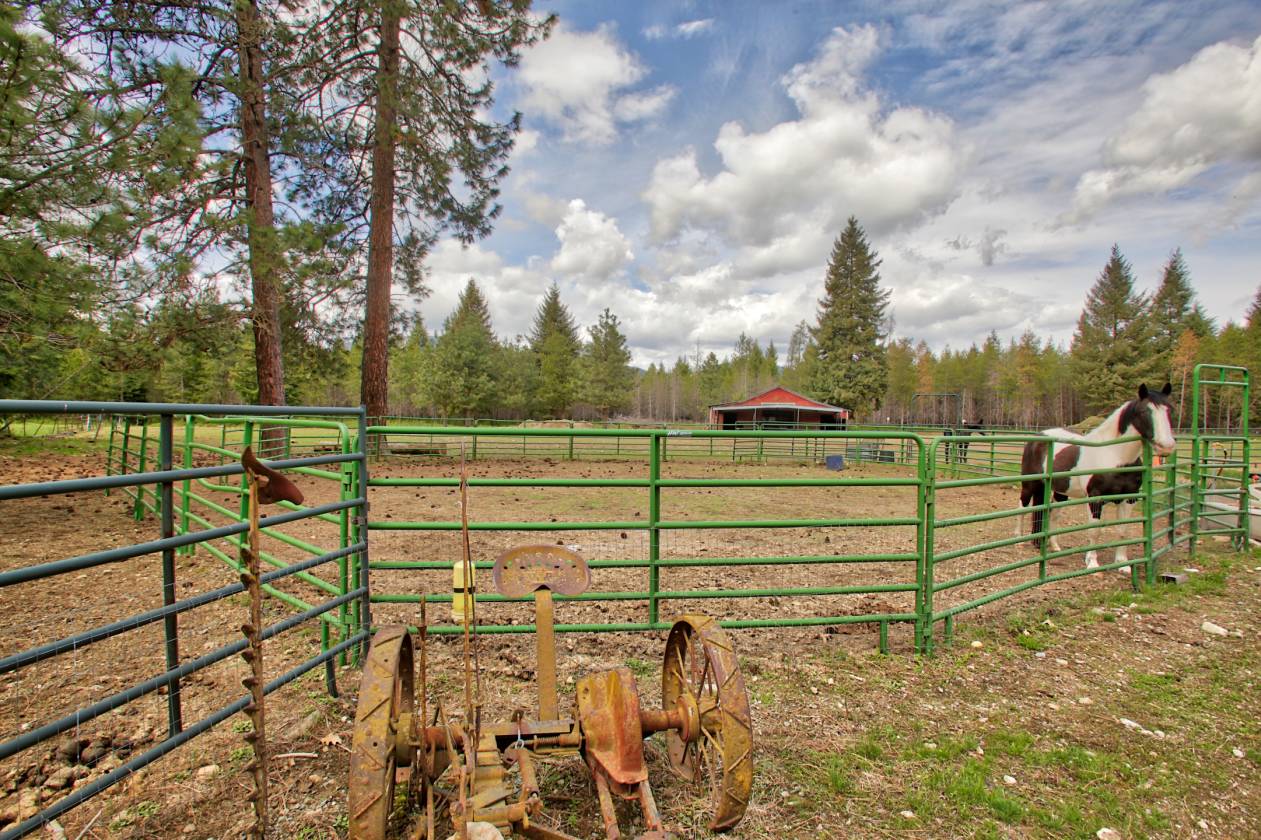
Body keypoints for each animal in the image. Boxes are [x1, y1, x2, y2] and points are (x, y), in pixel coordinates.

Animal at [1017, 384, 1175, 570]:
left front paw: (1122, 563)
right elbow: (1095, 530)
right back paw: (1019, 540)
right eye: (1144, 411)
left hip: (1060, 491)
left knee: (1052, 514)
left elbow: (1123, 530)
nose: (1166, 446)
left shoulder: (1129, 498)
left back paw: (1054, 546)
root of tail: (1039, 436)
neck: (1113, 454)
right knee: (1022, 506)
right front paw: (1092, 562)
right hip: (1029, 484)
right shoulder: (1095, 496)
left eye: (1169, 410)